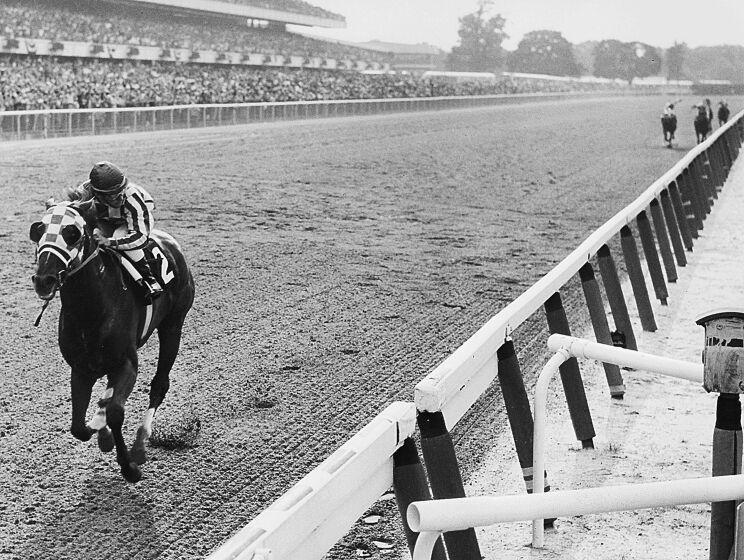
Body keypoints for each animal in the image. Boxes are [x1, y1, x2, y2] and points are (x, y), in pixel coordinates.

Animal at [29, 198, 195, 482]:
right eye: (38, 230)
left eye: (72, 233)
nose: (44, 280)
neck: (90, 309)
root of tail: (171, 243)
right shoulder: (81, 369)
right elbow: (78, 426)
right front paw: (101, 431)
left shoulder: (127, 363)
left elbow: (117, 411)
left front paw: (129, 467)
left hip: (173, 326)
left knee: (159, 385)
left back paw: (139, 446)